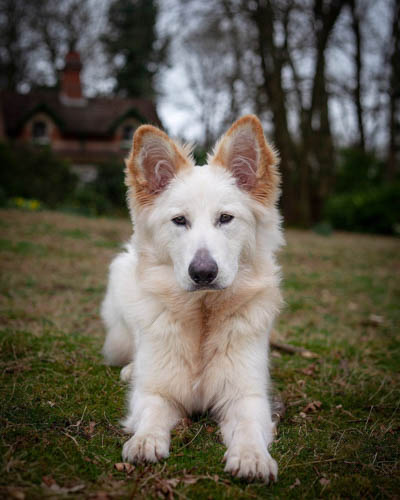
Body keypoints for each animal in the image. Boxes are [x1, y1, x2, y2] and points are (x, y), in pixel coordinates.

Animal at [101, 115, 282, 482]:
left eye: (225, 218)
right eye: (179, 221)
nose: (203, 273)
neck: (202, 314)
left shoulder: (246, 395)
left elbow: (248, 427)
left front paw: (252, 456)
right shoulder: (156, 392)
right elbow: (152, 413)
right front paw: (144, 441)